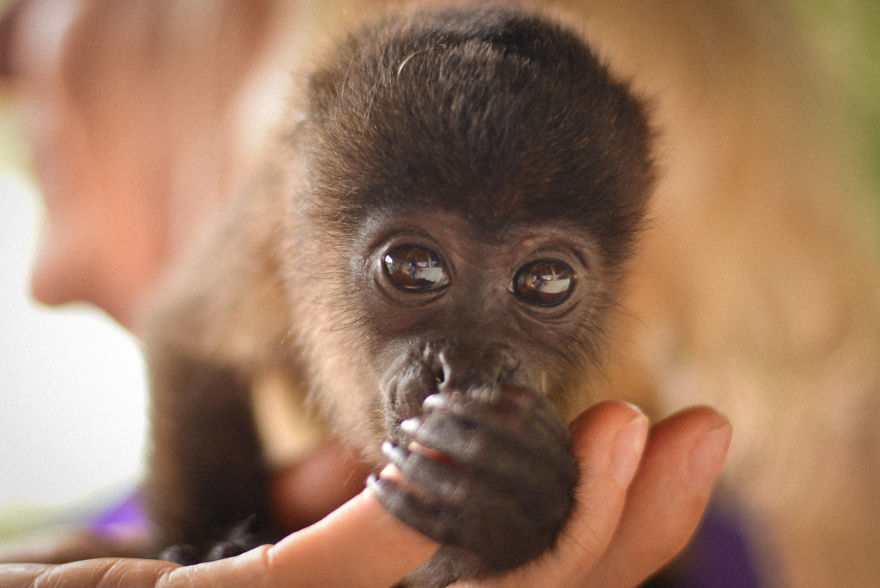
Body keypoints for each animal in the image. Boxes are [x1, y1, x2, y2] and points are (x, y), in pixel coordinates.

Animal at [141, 3, 654, 585]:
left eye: (545, 281)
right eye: (415, 268)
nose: (467, 369)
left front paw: (511, 492)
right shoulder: (266, 233)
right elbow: (189, 345)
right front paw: (211, 543)